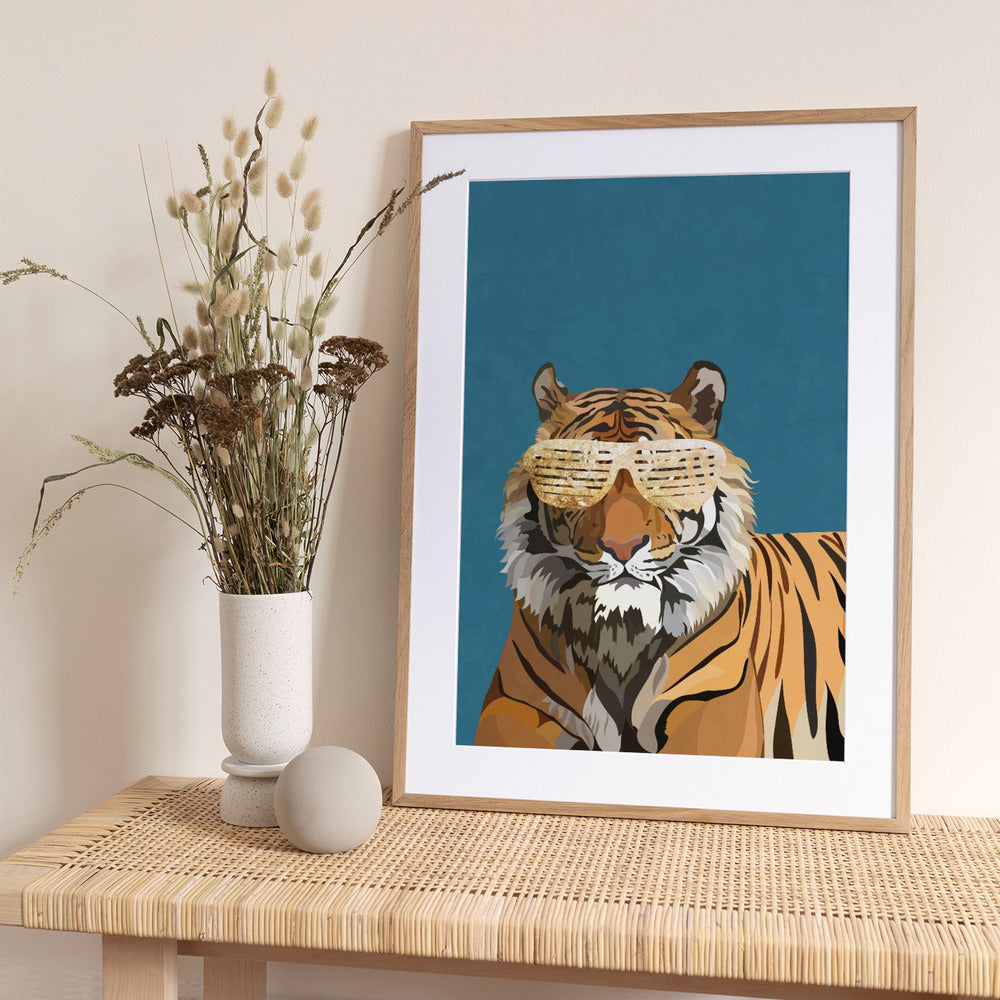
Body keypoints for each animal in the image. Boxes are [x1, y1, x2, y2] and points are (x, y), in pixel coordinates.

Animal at [474, 361, 846, 760]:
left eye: (659, 473)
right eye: (586, 474)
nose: (622, 547)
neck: (621, 635)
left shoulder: (711, 697)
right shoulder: (515, 702)